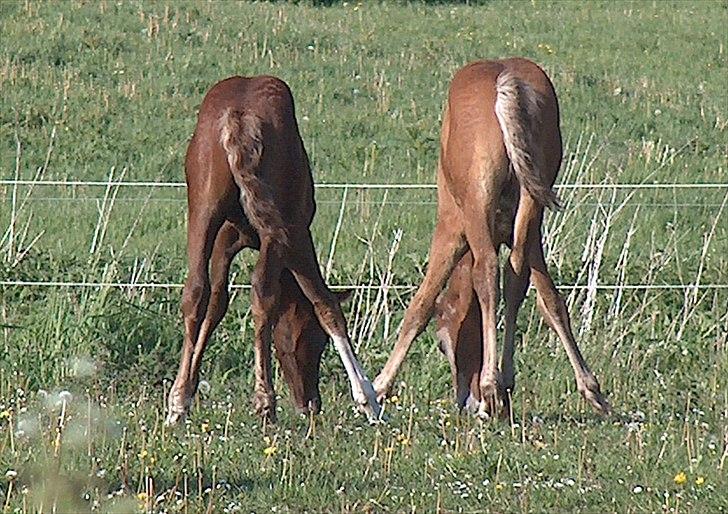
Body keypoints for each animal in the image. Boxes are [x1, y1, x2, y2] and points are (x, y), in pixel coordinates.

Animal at [166, 75, 382, 424]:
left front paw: (185, 393)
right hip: (279, 232)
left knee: (195, 291)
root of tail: (238, 118)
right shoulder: (296, 237)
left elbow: (215, 303)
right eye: (315, 338)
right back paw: (265, 401)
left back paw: (178, 404)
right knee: (262, 292)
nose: (311, 403)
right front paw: (368, 398)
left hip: (202, 212)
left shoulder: (225, 241)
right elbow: (324, 303)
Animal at [372, 58, 612, 416]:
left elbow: (421, 303)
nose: (465, 401)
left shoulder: (452, 230)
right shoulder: (530, 237)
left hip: (476, 209)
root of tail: (504, 82)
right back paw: (506, 383)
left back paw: (490, 387)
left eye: (442, 344)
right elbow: (547, 298)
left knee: (486, 274)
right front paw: (590, 388)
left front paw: (377, 388)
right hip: (531, 205)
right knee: (514, 277)